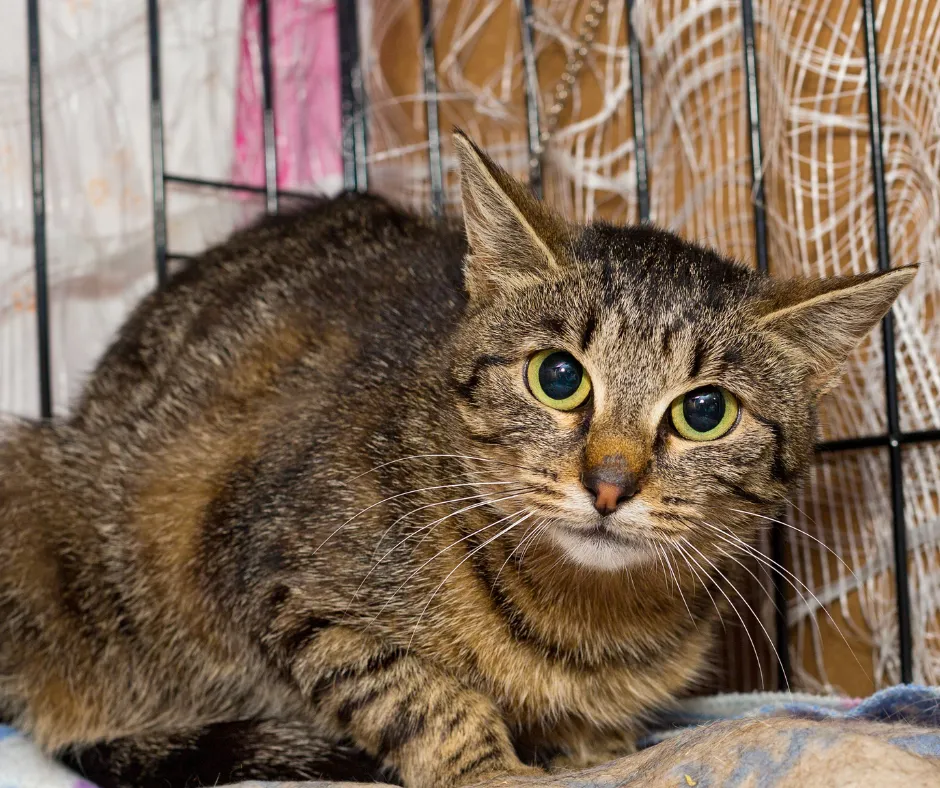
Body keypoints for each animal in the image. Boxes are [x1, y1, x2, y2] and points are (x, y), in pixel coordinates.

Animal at [0, 132, 912, 784]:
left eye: (704, 412)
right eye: (558, 378)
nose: (610, 484)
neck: (586, 620)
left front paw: (588, 753)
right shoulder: (286, 581)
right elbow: (418, 694)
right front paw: (489, 767)